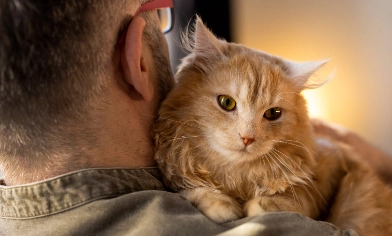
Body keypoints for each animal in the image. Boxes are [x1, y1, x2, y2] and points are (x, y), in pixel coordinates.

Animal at [153, 17, 392, 236]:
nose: (247, 137)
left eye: (272, 113)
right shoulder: (176, 173)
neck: (236, 177)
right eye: (226, 102)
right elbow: (192, 189)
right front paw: (221, 205)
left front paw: (260, 205)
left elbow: (291, 200)